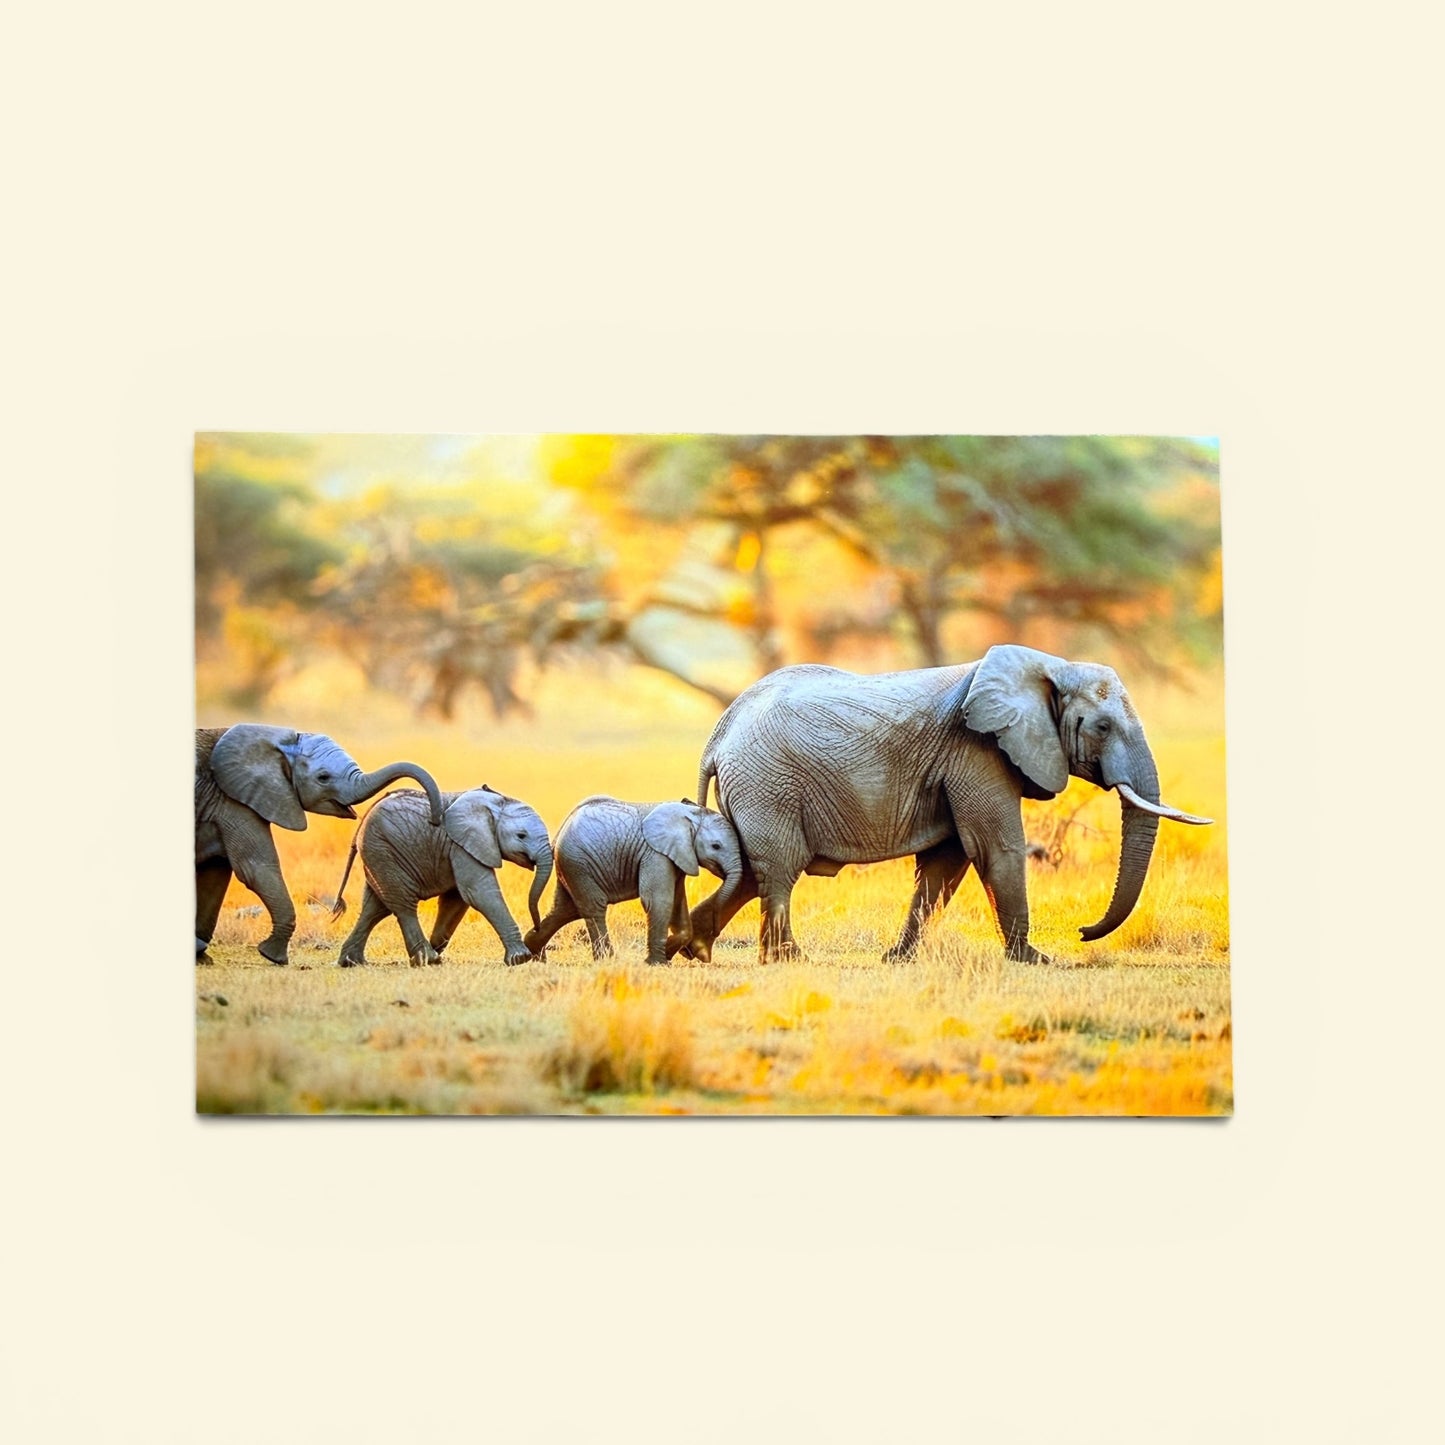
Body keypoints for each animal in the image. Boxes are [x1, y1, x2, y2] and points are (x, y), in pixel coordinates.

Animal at [195, 724, 443, 965]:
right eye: (323, 777)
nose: (435, 818)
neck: (271, 737)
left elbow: (216, 873)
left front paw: (202, 957)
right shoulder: (232, 801)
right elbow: (255, 867)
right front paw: (273, 956)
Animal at [332, 785, 554, 968]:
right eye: (521, 836)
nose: (536, 928)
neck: (496, 803)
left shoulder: (459, 847)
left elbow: (456, 899)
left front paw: (437, 944)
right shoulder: (462, 845)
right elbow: (478, 892)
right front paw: (520, 959)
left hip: (379, 855)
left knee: (375, 907)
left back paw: (352, 962)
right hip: (383, 850)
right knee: (402, 905)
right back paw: (428, 959)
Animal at [523, 796, 744, 966]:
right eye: (716, 846)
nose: (715, 931)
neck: (689, 815)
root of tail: (560, 830)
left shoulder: (677, 858)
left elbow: (677, 903)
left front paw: (668, 952)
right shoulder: (655, 854)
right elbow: (659, 901)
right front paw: (657, 963)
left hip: (572, 867)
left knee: (565, 910)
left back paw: (533, 953)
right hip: (578, 863)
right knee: (593, 908)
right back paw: (608, 960)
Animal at [682, 643, 1212, 965]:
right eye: (1102, 727)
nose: (1082, 931)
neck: (1049, 666)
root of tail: (717, 736)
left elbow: (945, 863)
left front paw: (898, 960)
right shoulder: (977, 751)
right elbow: (995, 848)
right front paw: (1035, 960)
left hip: (756, 790)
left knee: (749, 872)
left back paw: (692, 948)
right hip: (768, 785)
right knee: (778, 869)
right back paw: (788, 959)